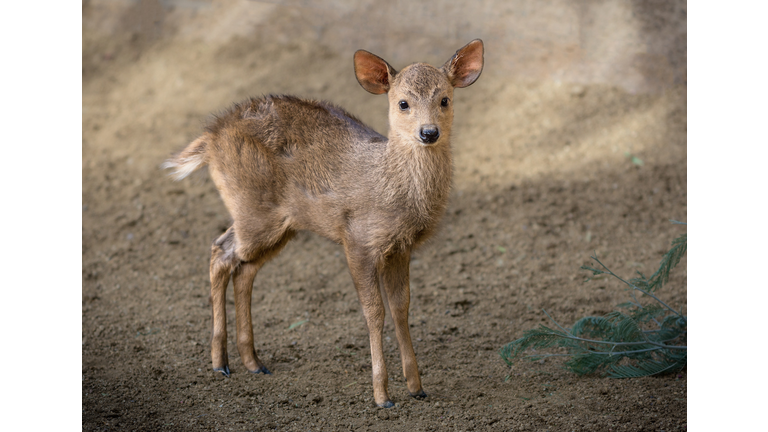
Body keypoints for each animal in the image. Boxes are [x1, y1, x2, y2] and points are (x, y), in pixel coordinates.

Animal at [164, 38, 484, 406]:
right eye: (403, 102)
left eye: (444, 99)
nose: (429, 132)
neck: (391, 188)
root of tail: (210, 138)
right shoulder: (357, 238)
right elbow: (374, 311)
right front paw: (382, 395)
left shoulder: (400, 248)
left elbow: (401, 307)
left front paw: (416, 387)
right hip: (253, 211)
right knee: (221, 252)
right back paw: (220, 363)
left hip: (281, 225)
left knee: (243, 269)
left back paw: (254, 363)